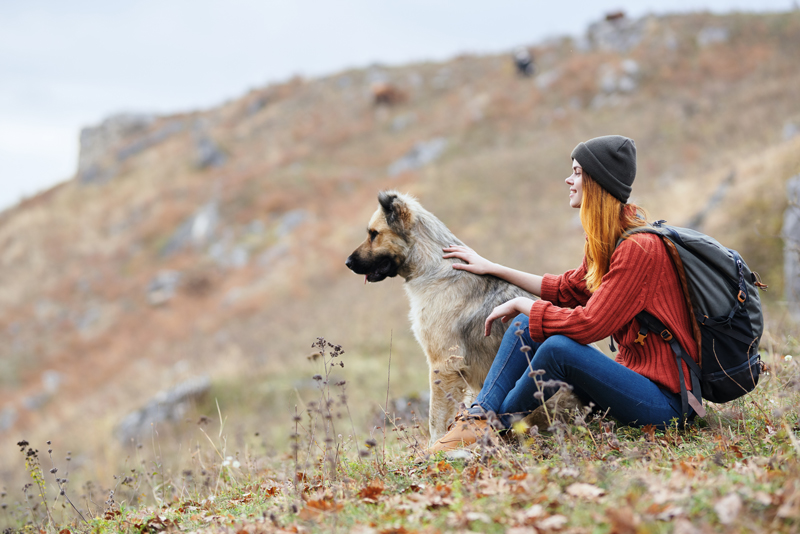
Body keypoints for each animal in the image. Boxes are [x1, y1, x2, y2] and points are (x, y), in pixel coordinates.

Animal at [346, 193, 536, 444]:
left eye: (374, 234)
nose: (347, 263)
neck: (433, 267)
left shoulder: (443, 364)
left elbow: (435, 419)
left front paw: (436, 444)